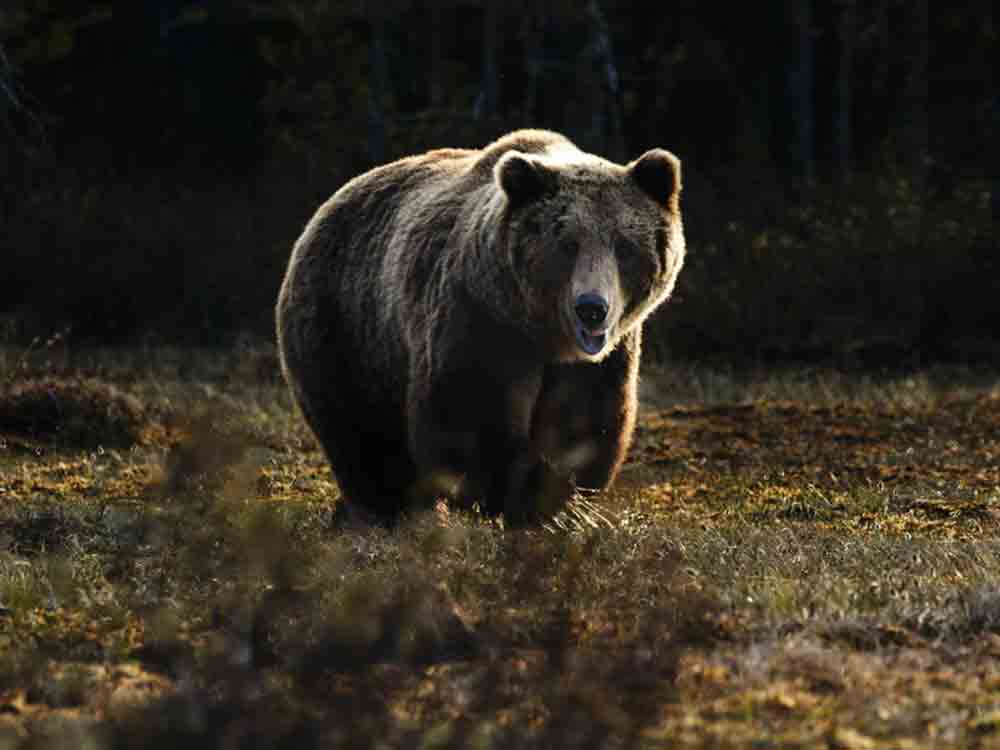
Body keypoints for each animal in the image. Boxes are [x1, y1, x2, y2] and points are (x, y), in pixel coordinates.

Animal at [276, 129, 684, 523]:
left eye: (624, 245)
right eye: (567, 244)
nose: (592, 309)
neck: (542, 333)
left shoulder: (599, 361)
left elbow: (581, 425)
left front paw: (560, 505)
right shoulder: (479, 322)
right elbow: (469, 416)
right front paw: (518, 499)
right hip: (346, 325)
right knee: (360, 433)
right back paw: (383, 510)